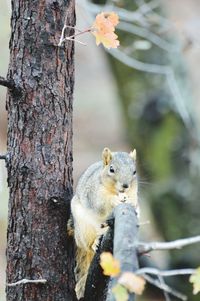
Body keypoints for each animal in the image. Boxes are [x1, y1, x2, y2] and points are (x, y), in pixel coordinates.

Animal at [68, 147, 138, 298]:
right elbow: (101, 203)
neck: (115, 191)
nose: (125, 185)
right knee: (87, 244)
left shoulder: (134, 192)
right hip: (83, 228)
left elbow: (133, 202)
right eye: (111, 169)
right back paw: (94, 243)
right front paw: (114, 200)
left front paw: (129, 201)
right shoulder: (93, 193)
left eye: (134, 171)